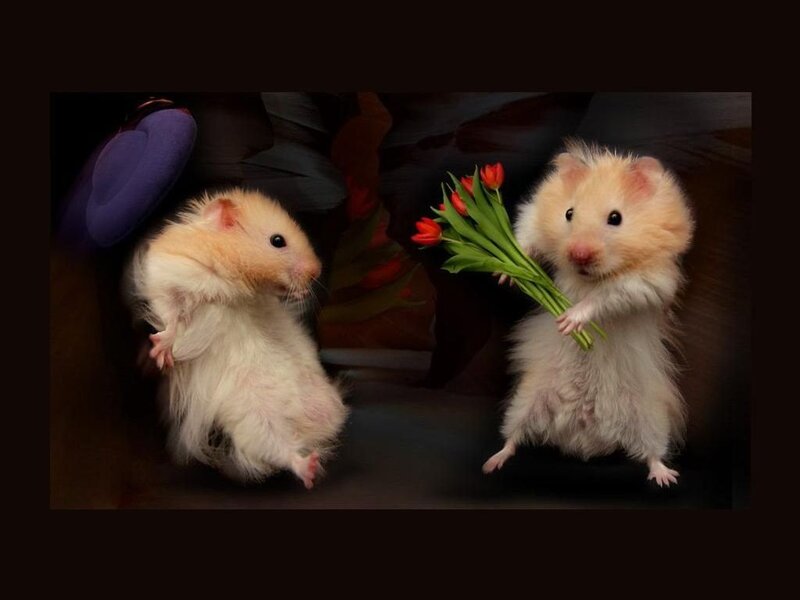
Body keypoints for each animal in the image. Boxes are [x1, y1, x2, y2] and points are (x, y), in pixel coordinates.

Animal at [127, 188, 348, 488]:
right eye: (278, 241)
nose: (316, 271)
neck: (241, 286)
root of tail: (304, 424)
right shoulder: (169, 275)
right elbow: (171, 318)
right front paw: (161, 354)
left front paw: (302, 292)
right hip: (255, 421)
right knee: (284, 451)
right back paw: (310, 469)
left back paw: (316, 458)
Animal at [483, 141, 694, 487]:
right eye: (568, 213)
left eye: (615, 218)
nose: (578, 254)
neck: (589, 276)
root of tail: (584, 439)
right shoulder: (532, 220)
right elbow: (527, 241)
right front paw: (507, 271)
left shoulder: (647, 282)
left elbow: (605, 297)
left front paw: (568, 321)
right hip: (526, 401)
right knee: (513, 437)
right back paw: (492, 463)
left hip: (649, 418)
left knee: (652, 453)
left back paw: (666, 478)